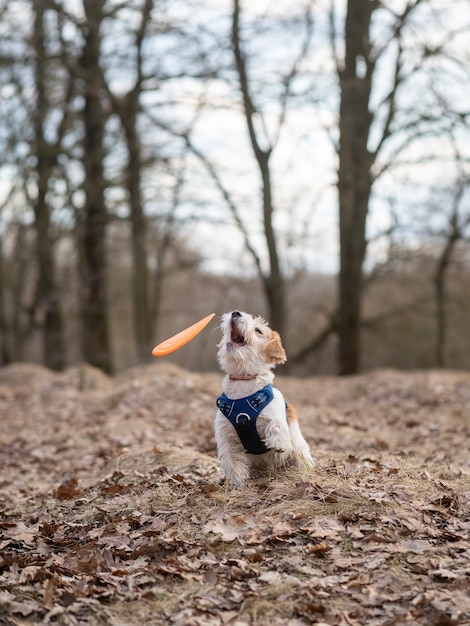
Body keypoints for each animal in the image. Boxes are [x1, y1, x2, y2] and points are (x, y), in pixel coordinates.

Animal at [215, 310, 314, 486]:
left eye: (258, 331)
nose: (235, 313)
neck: (243, 381)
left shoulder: (275, 412)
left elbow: (276, 424)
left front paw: (279, 443)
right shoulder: (226, 436)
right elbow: (233, 463)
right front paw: (238, 485)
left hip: (300, 454)